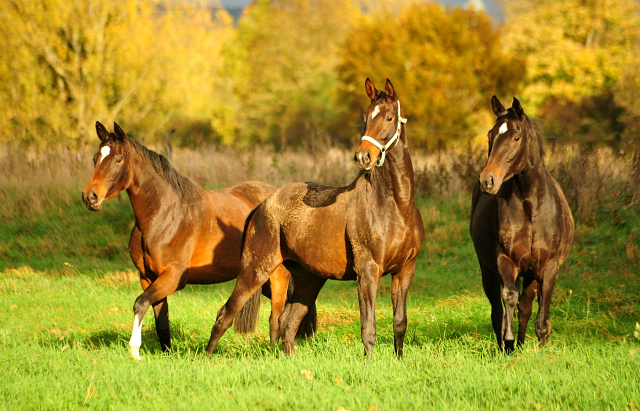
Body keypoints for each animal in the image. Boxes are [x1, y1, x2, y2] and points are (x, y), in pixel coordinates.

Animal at [81, 122, 316, 360]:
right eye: (95, 158)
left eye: (118, 159)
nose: (90, 197)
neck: (164, 215)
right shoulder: (148, 278)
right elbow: (161, 322)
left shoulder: (173, 278)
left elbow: (140, 303)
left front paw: (135, 351)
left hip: (276, 276)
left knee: (276, 316)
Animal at [206, 78, 424, 360]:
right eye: (365, 117)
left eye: (389, 117)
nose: (363, 157)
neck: (395, 206)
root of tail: (262, 206)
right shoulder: (367, 271)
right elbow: (368, 327)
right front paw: (369, 365)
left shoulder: (405, 270)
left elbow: (400, 323)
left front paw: (397, 362)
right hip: (255, 270)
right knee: (226, 314)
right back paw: (206, 358)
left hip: (308, 280)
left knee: (286, 323)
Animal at [470, 96, 576, 350]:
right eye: (490, 134)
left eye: (516, 137)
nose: (487, 180)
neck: (531, 205)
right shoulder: (505, 261)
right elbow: (509, 297)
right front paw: (507, 341)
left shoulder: (548, 267)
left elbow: (540, 315)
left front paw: (540, 347)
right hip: (488, 269)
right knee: (498, 309)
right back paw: (507, 345)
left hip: (530, 274)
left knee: (526, 307)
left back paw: (520, 345)